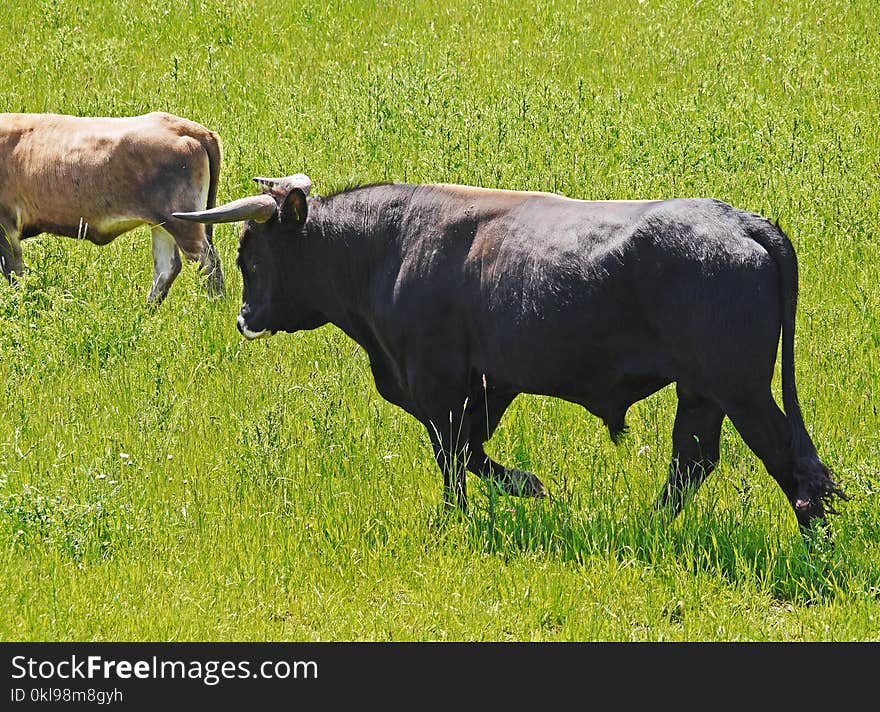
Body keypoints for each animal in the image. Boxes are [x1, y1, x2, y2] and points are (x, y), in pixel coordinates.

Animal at [0, 112, 223, 304]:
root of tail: (187, 127)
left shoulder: (6, 226)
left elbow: (14, 273)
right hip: (162, 223)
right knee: (167, 268)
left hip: (182, 222)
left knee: (207, 262)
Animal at [174, 179, 844, 536]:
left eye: (248, 255)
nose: (245, 319)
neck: (389, 247)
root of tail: (742, 221)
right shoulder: (488, 384)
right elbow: (470, 451)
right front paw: (528, 487)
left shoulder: (438, 383)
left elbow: (453, 456)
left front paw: (474, 512)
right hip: (702, 390)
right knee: (693, 461)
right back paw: (647, 526)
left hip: (742, 389)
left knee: (787, 462)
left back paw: (814, 543)